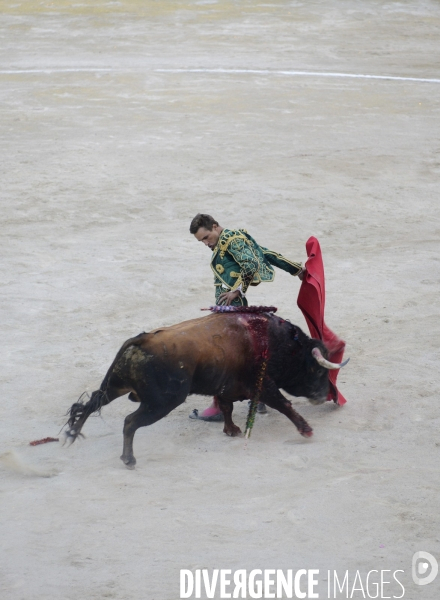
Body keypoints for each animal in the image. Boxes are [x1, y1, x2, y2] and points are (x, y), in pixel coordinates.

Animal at [65, 310, 348, 468]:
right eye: (319, 370)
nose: (324, 396)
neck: (278, 343)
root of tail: (140, 341)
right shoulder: (264, 384)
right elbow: (284, 404)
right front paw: (306, 430)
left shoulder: (227, 385)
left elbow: (226, 406)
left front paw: (231, 430)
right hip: (161, 403)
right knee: (130, 422)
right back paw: (129, 459)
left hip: (116, 385)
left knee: (92, 402)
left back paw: (72, 434)